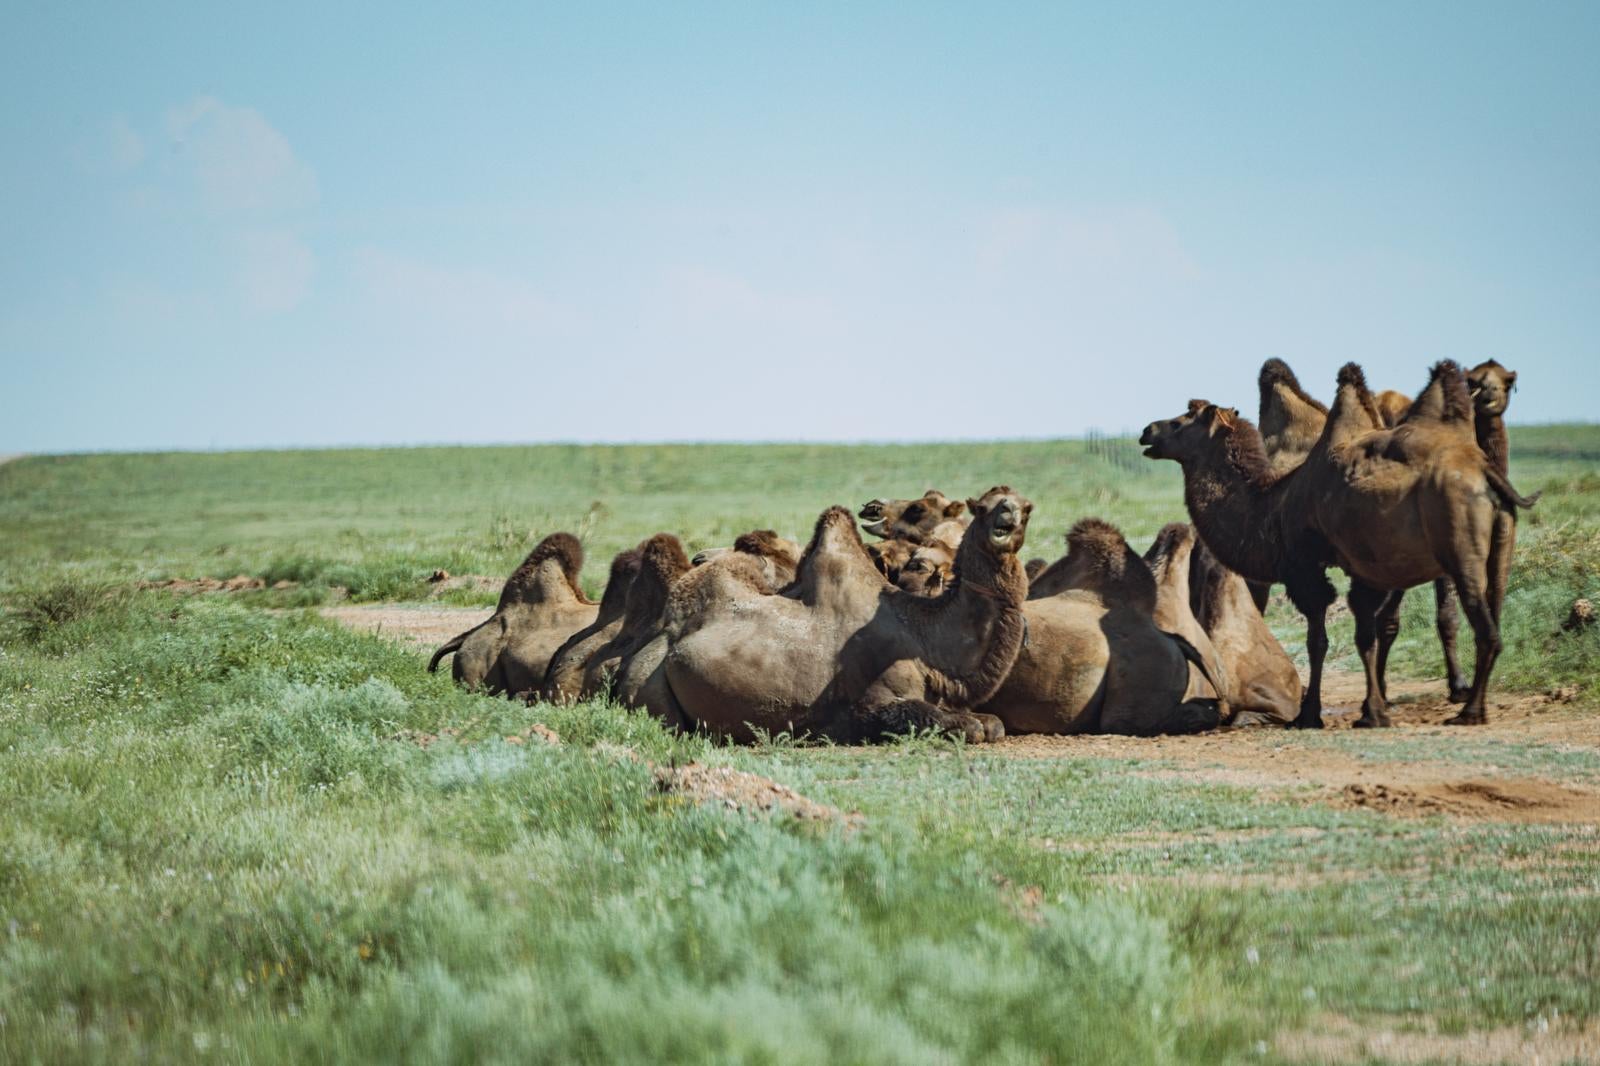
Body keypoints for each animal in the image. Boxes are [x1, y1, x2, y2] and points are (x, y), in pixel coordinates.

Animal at [656, 486, 1030, 742]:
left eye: (1026, 508)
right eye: (984, 507)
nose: (1007, 515)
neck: (922, 637)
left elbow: (993, 724)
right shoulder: (872, 703)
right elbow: (958, 723)